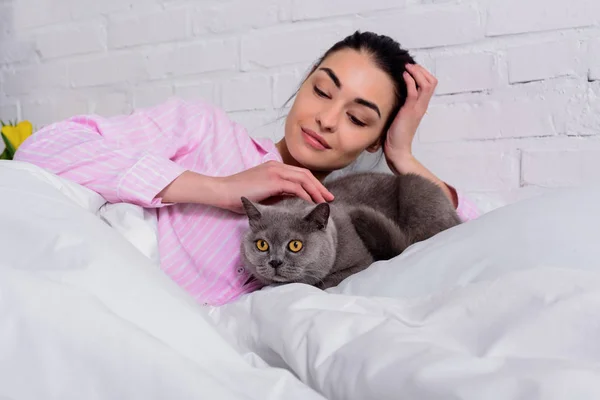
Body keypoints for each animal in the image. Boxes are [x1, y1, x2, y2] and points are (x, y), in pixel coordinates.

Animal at [241, 170, 462, 290]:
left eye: (295, 245)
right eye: (262, 245)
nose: (275, 261)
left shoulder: (362, 263)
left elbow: (323, 282)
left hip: (416, 191)